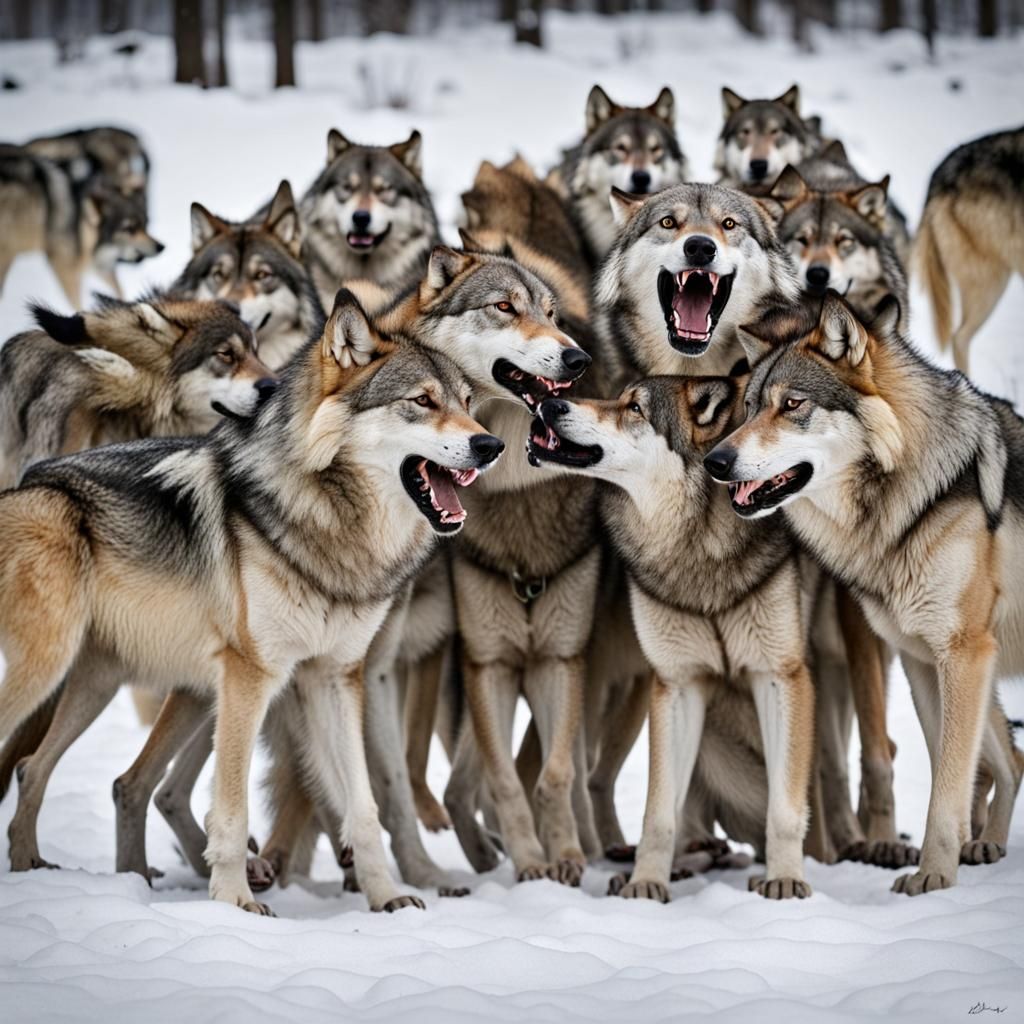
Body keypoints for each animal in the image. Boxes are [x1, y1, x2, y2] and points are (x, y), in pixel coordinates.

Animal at [0, 144, 163, 305]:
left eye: (146, 224)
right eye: (129, 229)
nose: (161, 247)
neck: (80, 224)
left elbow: (119, 290)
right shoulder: (63, 267)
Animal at [527, 375, 817, 900]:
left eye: (635, 408)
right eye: (619, 396)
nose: (550, 402)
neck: (695, 548)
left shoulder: (779, 676)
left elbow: (784, 809)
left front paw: (785, 879)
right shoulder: (678, 684)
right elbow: (659, 812)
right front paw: (646, 883)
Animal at [705, 291, 1024, 894]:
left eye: (793, 404)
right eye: (751, 406)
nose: (715, 462)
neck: (910, 500)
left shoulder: (961, 653)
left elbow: (947, 786)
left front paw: (932, 877)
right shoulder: (923, 657)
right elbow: (951, 773)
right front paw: (942, 867)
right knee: (1012, 760)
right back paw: (988, 845)